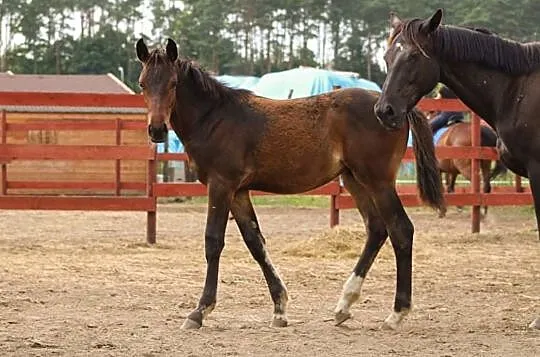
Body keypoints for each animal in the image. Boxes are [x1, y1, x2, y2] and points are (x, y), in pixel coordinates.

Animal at [137, 37, 446, 330]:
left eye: (173, 83)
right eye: (142, 84)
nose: (156, 130)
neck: (215, 118)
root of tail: (393, 108)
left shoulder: (221, 185)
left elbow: (213, 241)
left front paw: (199, 311)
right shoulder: (239, 192)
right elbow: (255, 242)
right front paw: (280, 309)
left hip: (378, 180)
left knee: (401, 230)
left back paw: (396, 314)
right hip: (354, 179)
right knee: (377, 229)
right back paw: (344, 305)